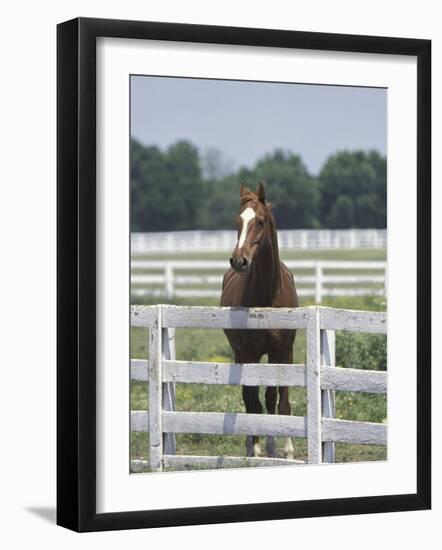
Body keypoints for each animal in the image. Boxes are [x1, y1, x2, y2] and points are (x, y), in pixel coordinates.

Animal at [220, 183, 296, 460]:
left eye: (260, 222)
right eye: (237, 221)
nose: (239, 260)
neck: (267, 296)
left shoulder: (283, 351)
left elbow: (280, 400)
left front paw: (287, 450)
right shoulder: (249, 353)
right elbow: (253, 400)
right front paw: (255, 447)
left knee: (271, 397)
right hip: (240, 354)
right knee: (249, 397)